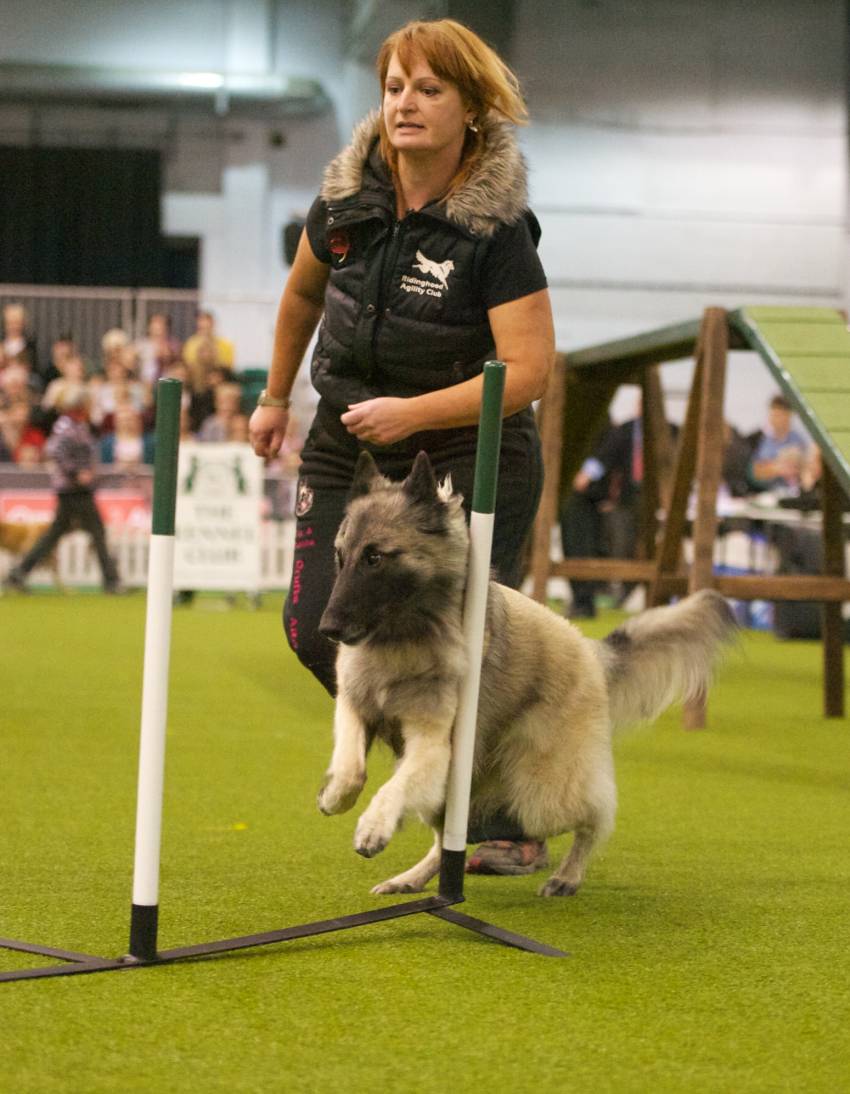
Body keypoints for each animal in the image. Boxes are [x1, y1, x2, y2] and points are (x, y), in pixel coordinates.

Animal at [317, 451, 736, 898]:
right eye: (340, 556)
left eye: (374, 558)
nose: (327, 628)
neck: (401, 635)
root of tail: (591, 651)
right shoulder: (355, 708)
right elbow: (351, 766)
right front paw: (336, 797)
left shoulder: (432, 744)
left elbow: (395, 786)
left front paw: (373, 825)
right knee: (448, 838)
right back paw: (409, 879)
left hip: (542, 789)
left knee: (594, 819)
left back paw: (568, 875)